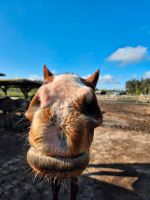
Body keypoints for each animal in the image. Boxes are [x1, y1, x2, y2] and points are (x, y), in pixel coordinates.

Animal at [25, 65, 102, 199]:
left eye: (91, 86)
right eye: (45, 82)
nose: (61, 105)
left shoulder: (75, 176)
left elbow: (73, 190)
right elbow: (55, 188)